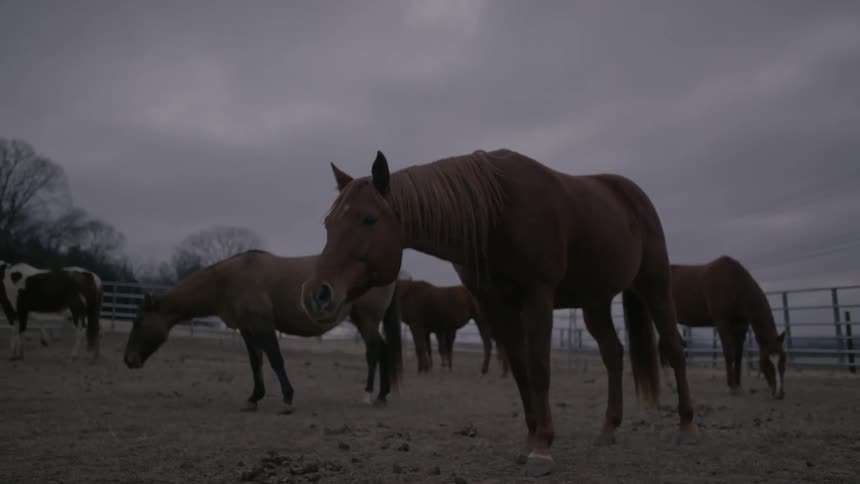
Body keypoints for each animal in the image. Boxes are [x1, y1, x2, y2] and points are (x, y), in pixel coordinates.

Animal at [123, 250, 402, 414]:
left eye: (138, 322)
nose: (128, 360)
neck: (230, 280)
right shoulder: (248, 330)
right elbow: (255, 363)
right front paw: (254, 397)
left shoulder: (263, 326)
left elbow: (276, 360)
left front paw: (288, 399)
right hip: (363, 320)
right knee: (382, 349)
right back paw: (382, 395)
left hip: (367, 319)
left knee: (374, 351)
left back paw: (368, 395)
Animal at [300, 148, 695, 477]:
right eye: (328, 224)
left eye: (369, 219)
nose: (316, 294)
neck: (497, 214)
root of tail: (631, 194)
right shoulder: (497, 305)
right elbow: (519, 369)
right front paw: (532, 439)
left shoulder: (537, 296)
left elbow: (539, 368)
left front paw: (542, 447)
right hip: (595, 301)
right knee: (613, 353)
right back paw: (609, 428)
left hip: (655, 285)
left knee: (674, 348)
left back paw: (686, 426)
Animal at [661, 256, 786, 399]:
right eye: (767, 362)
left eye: (784, 359)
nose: (779, 393)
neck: (734, 283)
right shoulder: (722, 323)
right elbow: (729, 353)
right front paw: (730, 387)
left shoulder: (741, 326)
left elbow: (738, 355)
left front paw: (738, 386)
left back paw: (672, 386)